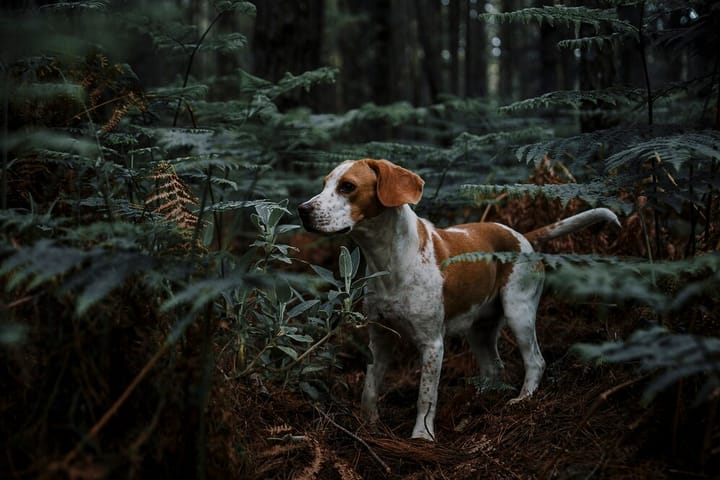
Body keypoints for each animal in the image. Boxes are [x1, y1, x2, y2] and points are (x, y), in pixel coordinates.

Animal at [298, 159, 620, 440]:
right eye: (325, 184)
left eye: (348, 186)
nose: (302, 209)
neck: (390, 261)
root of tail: (522, 236)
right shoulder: (379, 338)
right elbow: (370, 386)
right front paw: (368, 425)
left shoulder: (432, 345)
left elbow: (426, 397)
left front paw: (422, 437)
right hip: (479, 330)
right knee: (494, 368)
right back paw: (476, 400)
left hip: (519, 312)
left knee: (536, 361)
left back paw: (522, 400)